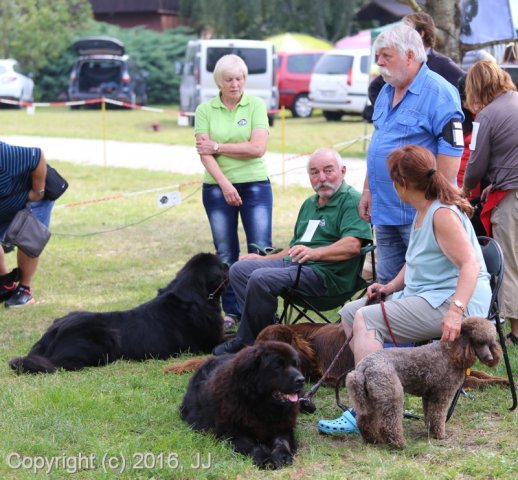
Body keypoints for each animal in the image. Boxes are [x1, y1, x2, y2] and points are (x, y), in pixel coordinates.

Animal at [9, 253, 229, 374]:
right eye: (221, 266)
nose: (228, 264)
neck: (196, 295)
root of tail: (53, 331)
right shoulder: (209, 342)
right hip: (105, 338)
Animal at [348, 316, 502, 448]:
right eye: (479, 342)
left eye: (490, 343)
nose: (489, 358)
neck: (451, 353)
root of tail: (362, 368)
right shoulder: (442, 394)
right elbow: (438, 416)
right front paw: (440, 435)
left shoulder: (429, 395)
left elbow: (429, 416)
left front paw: (431, 432)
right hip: (392, 396)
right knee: (388, 425)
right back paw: (400, 444)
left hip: (372, 398)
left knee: (364, 421)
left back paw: (373, 440)